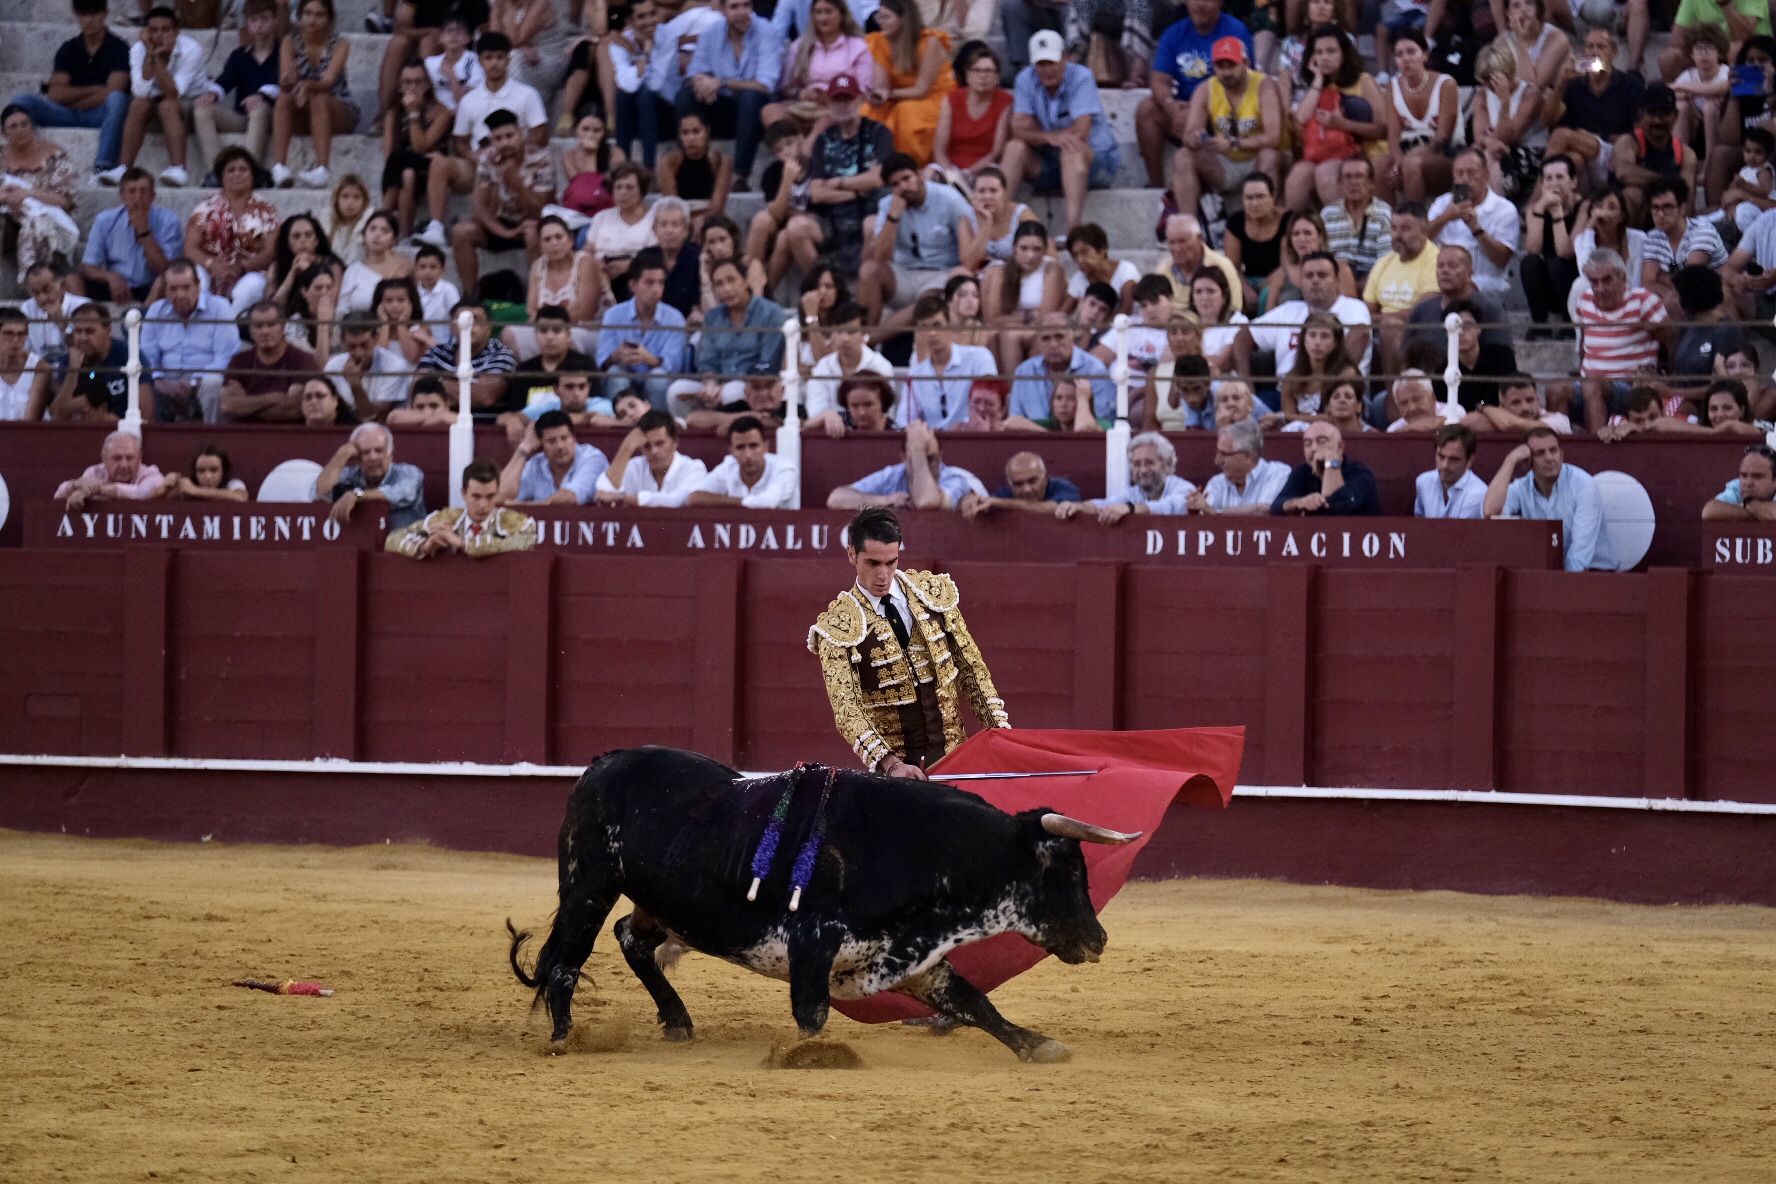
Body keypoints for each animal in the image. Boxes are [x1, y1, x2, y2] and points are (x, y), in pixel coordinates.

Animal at [504, 745, 1136, 1057]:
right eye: (1066, 870)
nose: (1099, 939)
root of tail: (600, 765)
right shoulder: (813, 942)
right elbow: (812, 1016)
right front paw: (806, 1055)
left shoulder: (908, 956)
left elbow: (973, 1001)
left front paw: (1040, 1046)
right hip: (589, 884)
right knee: (566, 960)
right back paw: (564, 1039)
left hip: (658, 901)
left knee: (630, 940)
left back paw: (677, 1021)